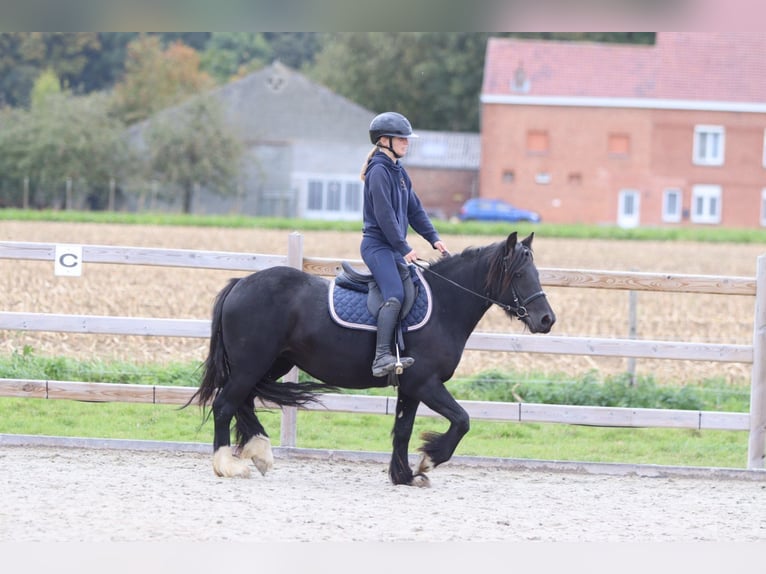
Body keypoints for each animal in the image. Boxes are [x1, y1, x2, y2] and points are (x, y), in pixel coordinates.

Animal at [188, 231, 555, 486]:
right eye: (519, 275)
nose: (547, 320)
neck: (445, 304)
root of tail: (240, 284)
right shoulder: (425, 382)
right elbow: (462, 420)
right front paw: (429, 459)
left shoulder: (410, 387)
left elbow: (404, 429)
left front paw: (405, 475)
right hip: (251, 365)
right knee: (225, 405)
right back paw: (227, 465)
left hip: (268, 364)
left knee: (244, 401)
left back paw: (260, 453)